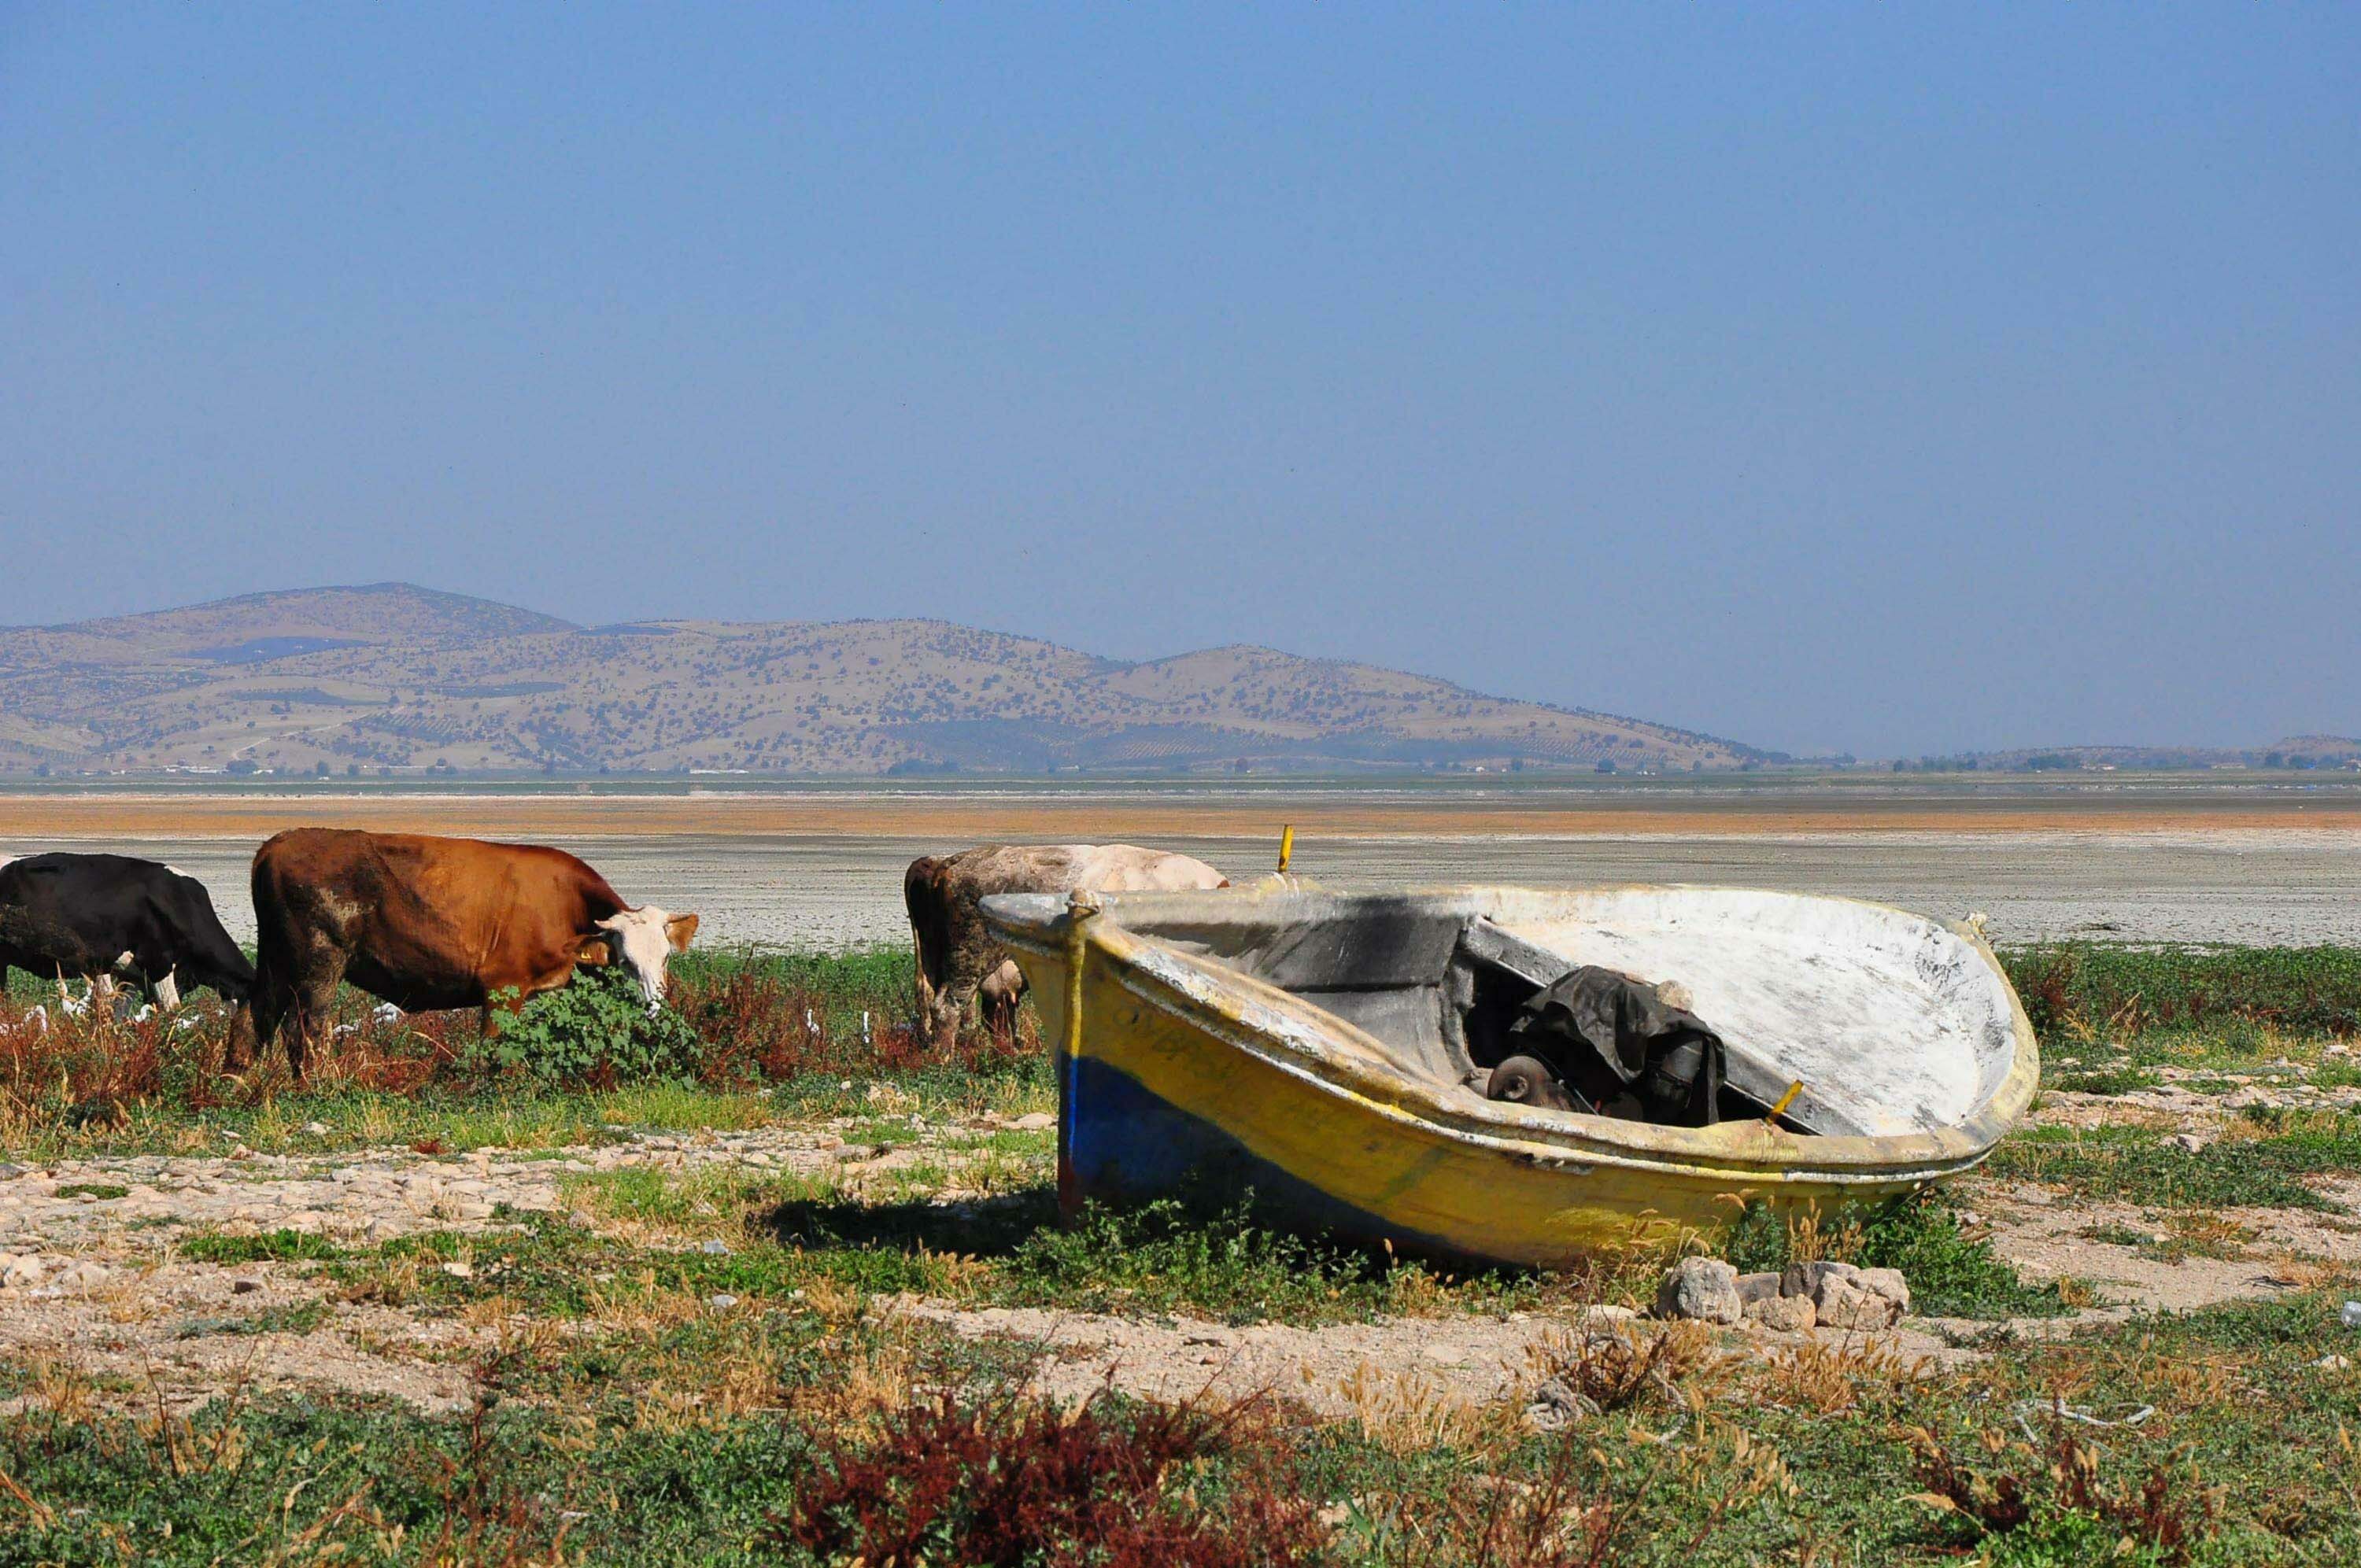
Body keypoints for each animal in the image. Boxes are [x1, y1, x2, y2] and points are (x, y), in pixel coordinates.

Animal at [248, 831, 694, 1076]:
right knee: (303, 1032)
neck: (564, 904)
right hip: (318, 967)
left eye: (666, 958)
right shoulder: (502, 988)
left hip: (274, 964)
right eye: (625, 962)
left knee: (255, 1021)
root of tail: (279, 843)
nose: (654, 1007)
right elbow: (494, 1049)